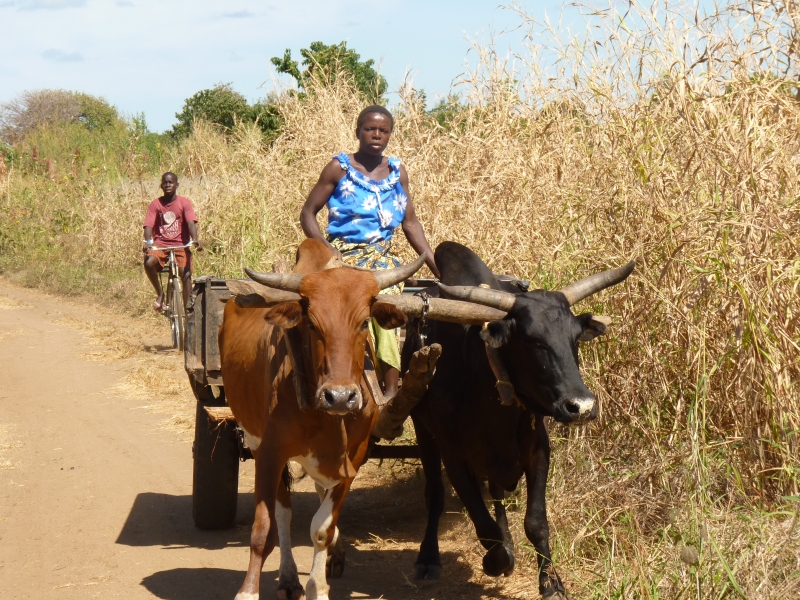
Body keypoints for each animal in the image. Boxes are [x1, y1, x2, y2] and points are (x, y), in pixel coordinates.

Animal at [219, 239, 425, 600]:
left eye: (363, 323)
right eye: (312, 324)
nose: (340, 397)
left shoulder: (352, 458)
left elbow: (321, 529)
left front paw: (319, 585)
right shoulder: (270, 452)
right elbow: (264, 529)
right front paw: (248, 592)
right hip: (257, 441)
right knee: (283, 513)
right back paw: (288, 578)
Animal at [401, 241, 634, 600]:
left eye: (574, 339)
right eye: (532, 340)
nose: (581, 406)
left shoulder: (538, 450)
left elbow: (535, 522)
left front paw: (551, 582)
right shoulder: (454, 458)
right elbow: (484, 526)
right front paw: (496, 561)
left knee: (496, 493)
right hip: (422, 430)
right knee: (435, 494)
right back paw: (429, 558)